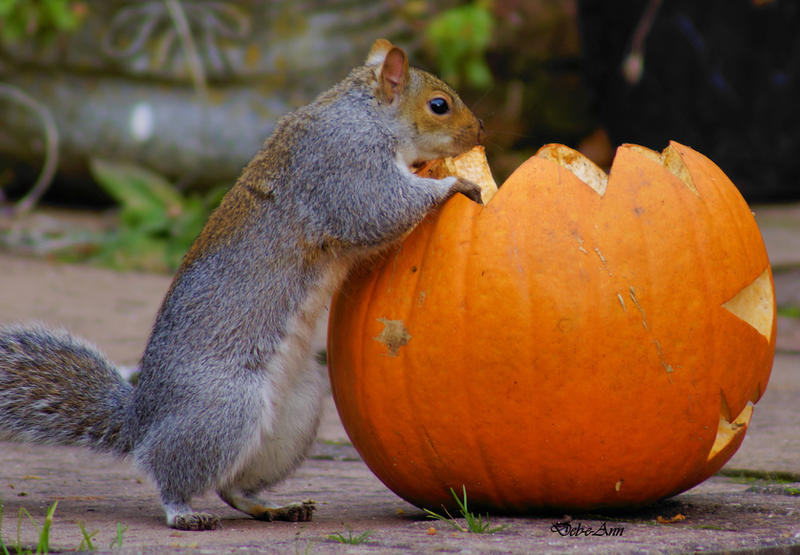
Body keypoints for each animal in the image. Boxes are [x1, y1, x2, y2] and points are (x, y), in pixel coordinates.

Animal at [0, 38, 482, 528]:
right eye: (439, 105)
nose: (479, 132)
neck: (361, 113)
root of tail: (143, 418)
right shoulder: (344, 168)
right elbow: (379, 209)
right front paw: (453, 182)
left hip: (297, 409)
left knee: (232, 486)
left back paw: (276, 507)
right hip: (226, 408)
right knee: (170, 470)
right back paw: (183, 511)